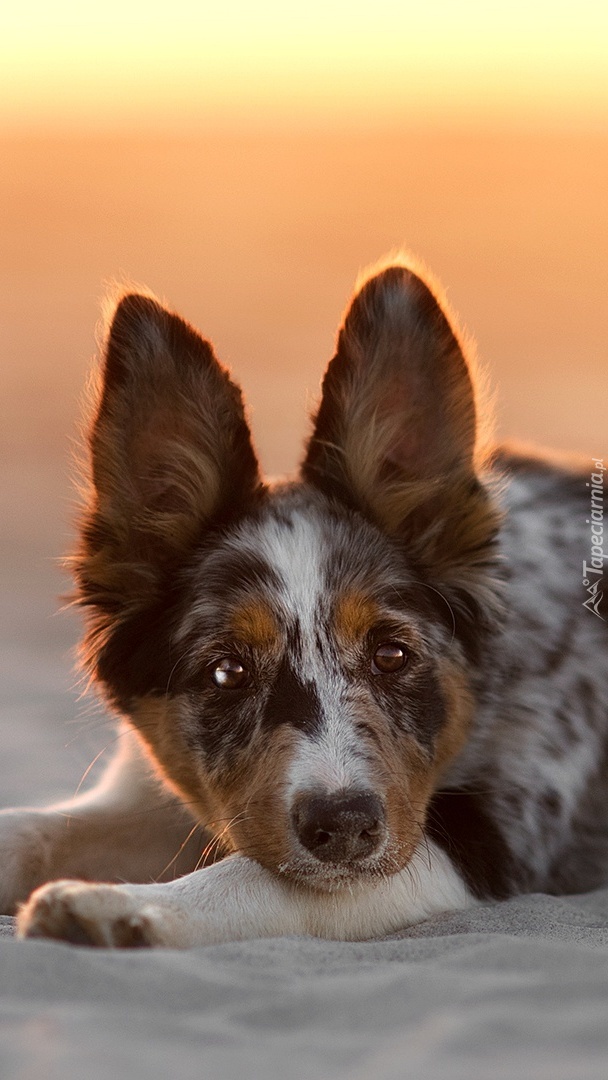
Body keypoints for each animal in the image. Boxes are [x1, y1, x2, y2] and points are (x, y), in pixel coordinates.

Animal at [2, 259, 604, 946]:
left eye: (392, 655)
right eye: (226, 671)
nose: (343, 828)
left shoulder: (480, 837)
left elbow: (249, 877)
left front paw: (110, 906)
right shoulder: (153, 794)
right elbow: (26, 827)